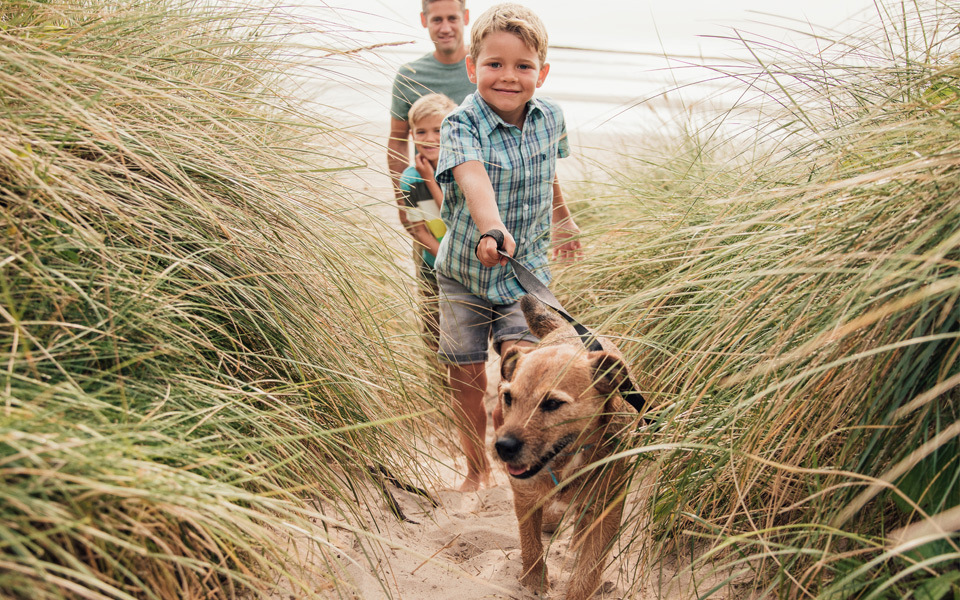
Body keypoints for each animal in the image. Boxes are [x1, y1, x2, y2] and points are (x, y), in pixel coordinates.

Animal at [496, 296, 636, 600]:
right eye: (508, 398)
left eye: (552, 403)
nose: (502, 447)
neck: (565, 462)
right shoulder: (524, 497)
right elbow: (530, 543)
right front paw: (534, 580)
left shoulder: (606, 511)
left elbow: (588, 569)